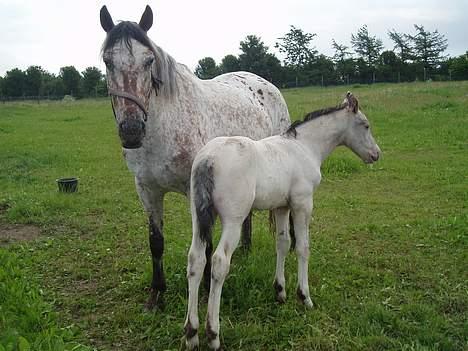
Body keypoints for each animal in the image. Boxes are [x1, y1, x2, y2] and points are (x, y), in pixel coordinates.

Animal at [98, 6, 288, 310]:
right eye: (107, 61)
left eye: (149, 60)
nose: (131, 130)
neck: (164, 128)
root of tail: (264, 83)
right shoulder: (147, 190)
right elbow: (156, 241)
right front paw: (156, 294)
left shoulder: (195, 192)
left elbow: (205, 243)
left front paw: (207, 287)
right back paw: (244, 249)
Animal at [183, 93, 380, 350]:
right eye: (365, 125)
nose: (376, 154)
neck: (305, 147)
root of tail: (208, 159)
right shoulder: (302, 203)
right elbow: (303, 248)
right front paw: (304, 297)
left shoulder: (281, 206)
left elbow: (283, 244)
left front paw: (280, 292)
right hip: (233, 220)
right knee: (219, 262)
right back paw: (213, 334)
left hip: (199, 217)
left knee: (195, 260)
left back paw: (191, 332)